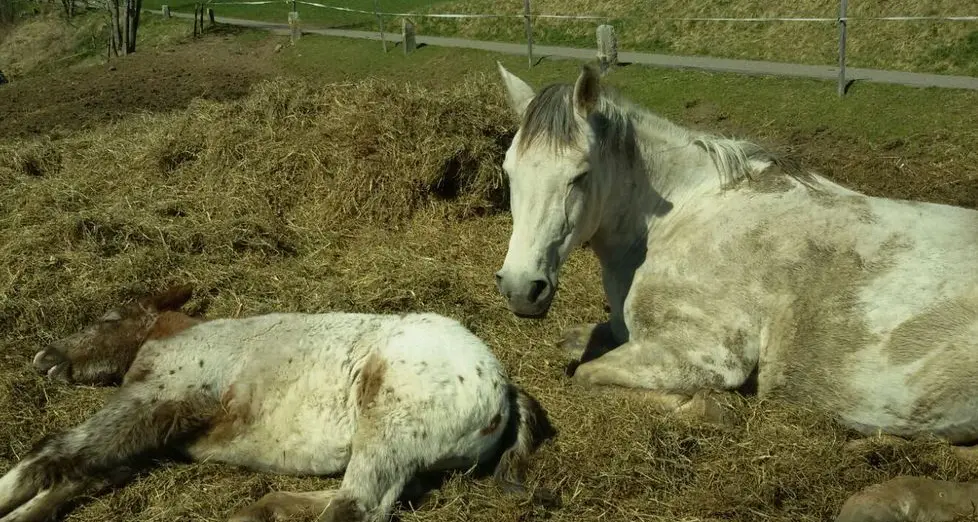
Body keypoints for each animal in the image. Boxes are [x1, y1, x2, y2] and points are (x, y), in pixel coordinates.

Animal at [0, 284, 555, 522]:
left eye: (111, 318)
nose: (45, 357)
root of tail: (505, 387)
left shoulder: (156, 400)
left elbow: (52, 454)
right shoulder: (153, 437)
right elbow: (83, 473)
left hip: (387, 423)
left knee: (355, 507)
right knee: (363, 497)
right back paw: (257, 510)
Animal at [492, 62, 978, 522]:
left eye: (579, 175)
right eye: (509, 172)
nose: (521, 288)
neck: (681, 217)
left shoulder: (703, 355)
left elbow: (587, 377)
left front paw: (712, 410)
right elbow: (576, 345)